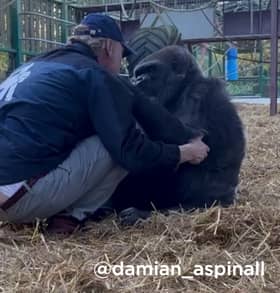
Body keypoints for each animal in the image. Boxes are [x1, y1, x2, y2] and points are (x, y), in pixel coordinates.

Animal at [109, 45, 245, 224]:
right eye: (138, 73)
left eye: (151, 70)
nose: (138, 80)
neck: (180, 90)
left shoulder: (198, 92)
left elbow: (189, 135)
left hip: (218, 200)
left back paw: (147, 213)